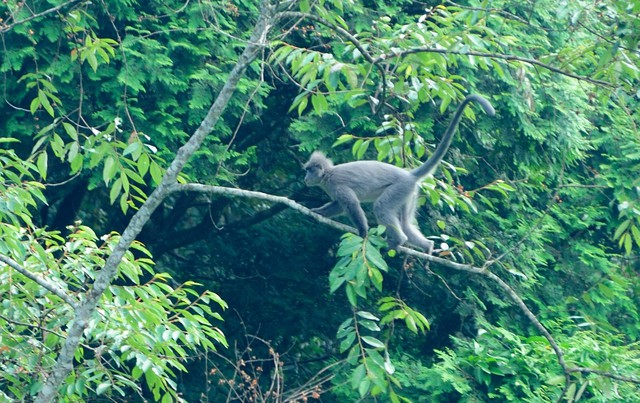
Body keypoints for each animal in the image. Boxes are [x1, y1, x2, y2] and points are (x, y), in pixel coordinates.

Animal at [304, 94, 496, 252]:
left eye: (308, 171)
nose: (305, 178)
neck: (328, 175)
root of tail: (409, 175)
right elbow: (338, 205)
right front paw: (318, 212)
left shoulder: (336, 184)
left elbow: (351, 204)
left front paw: (363, 232)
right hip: (409, 193)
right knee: (405, 224)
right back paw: (427, 246)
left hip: (399, 188)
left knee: (381, 207)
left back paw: (398, 241)